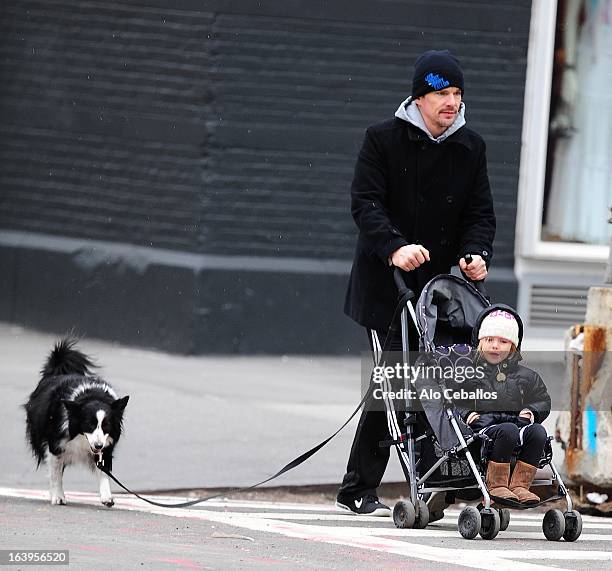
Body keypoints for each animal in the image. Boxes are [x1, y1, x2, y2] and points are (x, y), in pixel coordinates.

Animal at [24, 338, 128, 508]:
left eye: (106, 425)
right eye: (89, 425)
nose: (98, 446)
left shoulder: (106, 445)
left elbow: (104, 471)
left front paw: (107, 497)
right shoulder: (56, 445)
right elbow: (56, 473)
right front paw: (58, 496)